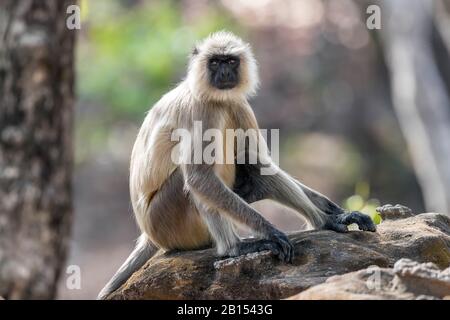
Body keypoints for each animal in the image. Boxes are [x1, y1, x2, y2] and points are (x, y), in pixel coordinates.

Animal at [98, 31, 376, 298]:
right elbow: (199, 177)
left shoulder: (238, 102)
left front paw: (340, 212)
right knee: (194, 180)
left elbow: (258, 158)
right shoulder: (202, 108)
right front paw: (271, 232)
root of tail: (148, 233)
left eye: (230, 61)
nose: (224, 73)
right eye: (215, 62)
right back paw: (234, 247)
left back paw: (324, 221)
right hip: (165, 220)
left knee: (253, 162)